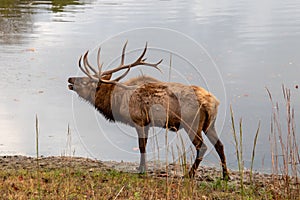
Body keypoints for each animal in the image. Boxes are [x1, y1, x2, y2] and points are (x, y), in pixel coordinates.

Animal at [68, 42, 230, 180]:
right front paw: (142, 168)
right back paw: (226, 175)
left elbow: (141, 146)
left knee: (202, 147)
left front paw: (141, 170)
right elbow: (144, 146)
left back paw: (189, 174)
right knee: (220, 145)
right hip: (210, 124)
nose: (70, 79)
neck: (117, 102)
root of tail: (213, 103)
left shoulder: (139, 121)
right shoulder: (146, 123)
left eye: (86, 81)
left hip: (192, 123)